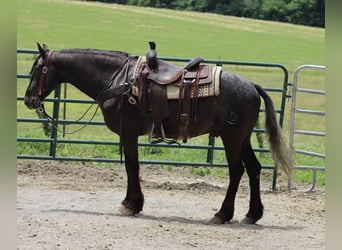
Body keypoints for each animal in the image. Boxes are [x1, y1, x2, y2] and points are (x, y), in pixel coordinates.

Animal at [24, 43, 290, 225]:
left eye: (36, 69)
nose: (28, 99)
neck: (118, 80)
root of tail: (252, 86)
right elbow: (132, 167)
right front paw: (132, 203)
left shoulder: (128, 133)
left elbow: (132, 166)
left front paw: (131, 205)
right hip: (242, 139)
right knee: (254, 169)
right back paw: (252, 214)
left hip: (231, 138)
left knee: (237, 171)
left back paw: (222, 214)